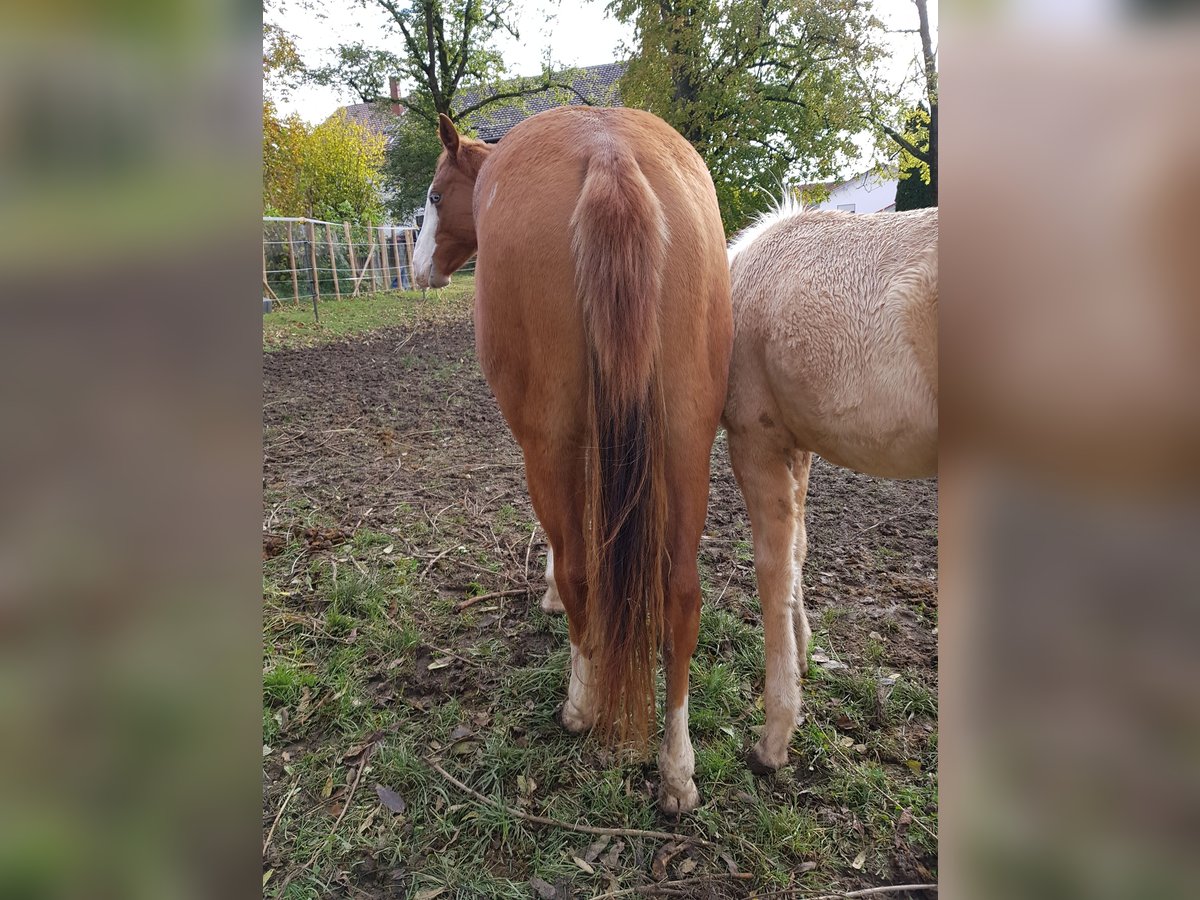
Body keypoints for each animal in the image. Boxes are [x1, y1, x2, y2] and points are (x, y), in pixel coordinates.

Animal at [412, 107, 729, 816]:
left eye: (435, 196)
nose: (417, 268)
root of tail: (608, 152)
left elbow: (568, 547)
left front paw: (554, 602)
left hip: (551, 437)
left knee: (582, 566)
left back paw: (582, 701)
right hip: (687, 437)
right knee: (682, 594)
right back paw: (676, 766)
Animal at [720, 204, 936, 777]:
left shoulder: (757, 441)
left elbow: (772, 569)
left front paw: (774, 737)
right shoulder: (798, 446)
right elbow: (799, 549)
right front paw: (804, 651)